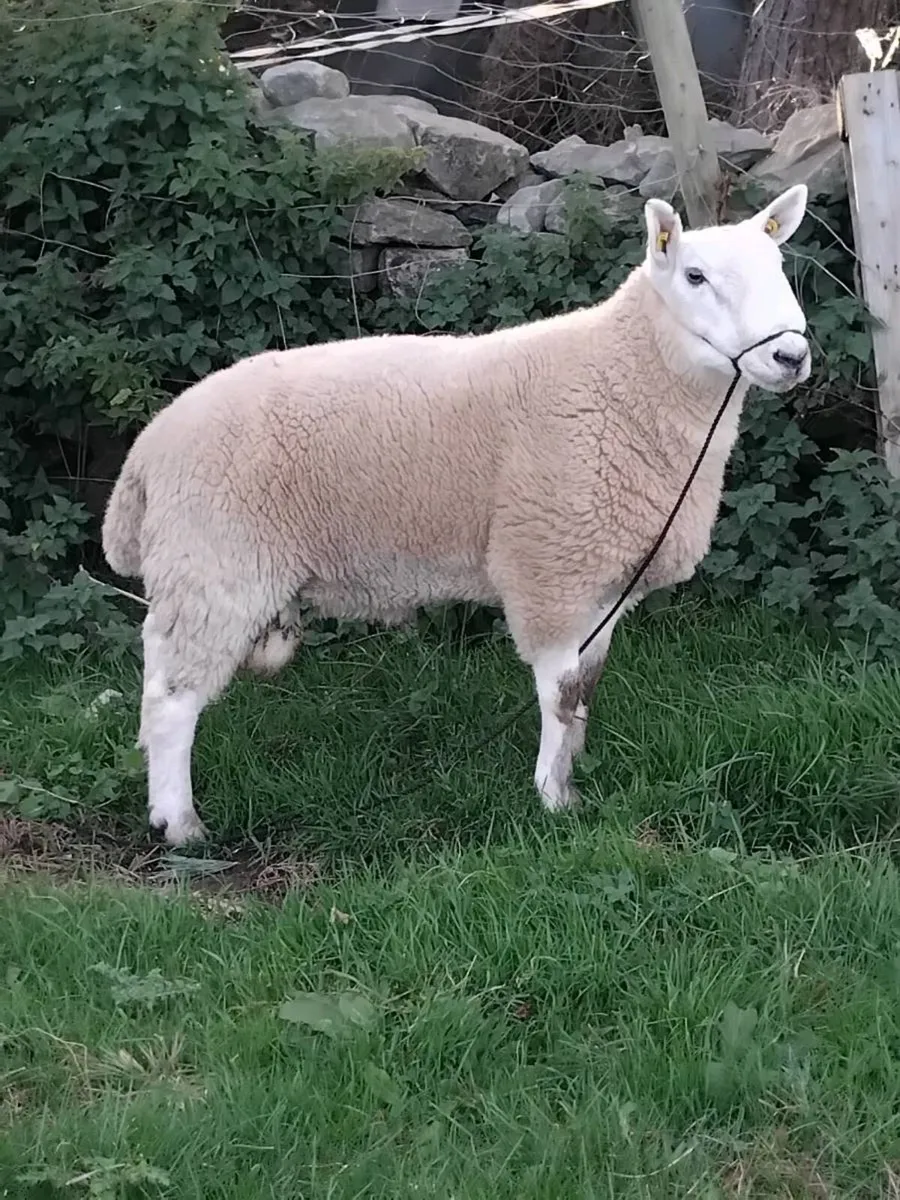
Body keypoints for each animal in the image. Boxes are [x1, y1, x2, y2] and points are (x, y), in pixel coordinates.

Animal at [102, 183, 811, 846]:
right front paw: (554, 799)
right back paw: (179, 824)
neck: (622, 379)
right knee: (170, 700)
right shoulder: (548, 568)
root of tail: (148, 450)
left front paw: (578, 769)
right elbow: (559, 692)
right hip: (215, 563)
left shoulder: (604, 577)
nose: (792, 357)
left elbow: (587, 686)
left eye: (779, 265)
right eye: (694, 276)